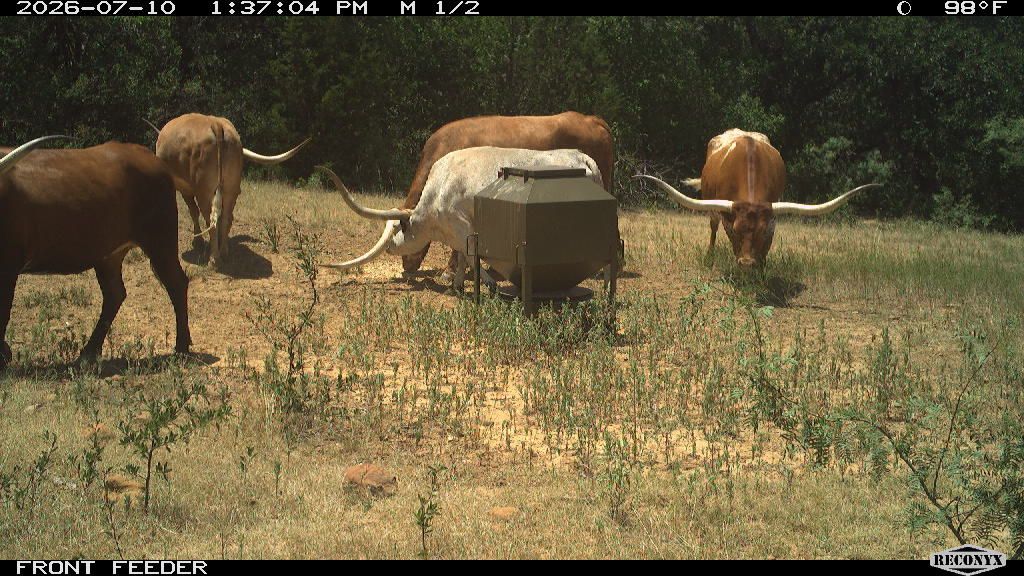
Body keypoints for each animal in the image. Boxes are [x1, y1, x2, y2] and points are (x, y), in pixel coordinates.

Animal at [0, 136, 191, 368]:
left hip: (160, 239)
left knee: (176, 283)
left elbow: (2, 312)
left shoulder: (8, 266)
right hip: (108, 255)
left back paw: (181, 347)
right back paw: (89, 351)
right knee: (115, 294)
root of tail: (148, 156)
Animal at [149, 113, 310, 266]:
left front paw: (198, 241)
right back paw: (224, 251)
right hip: (231, 189)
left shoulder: (185, 189)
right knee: (226, 217)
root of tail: (216, 123)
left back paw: (214, 259)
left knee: (210, 220)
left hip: (204, 191)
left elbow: (193, 212)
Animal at [318, 147, 603, 288]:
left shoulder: (462, 224)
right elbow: (464, 256)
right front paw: (456, 282)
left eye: (399, 228)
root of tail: (582, 157)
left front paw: (488, 283)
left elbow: (472, 254)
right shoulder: (458, 231)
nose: (389, 247)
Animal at [639, 129, 879, 268]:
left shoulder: (772, 219)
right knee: (713, 228)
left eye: (762, 232)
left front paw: (762, 268)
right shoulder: (727, 218)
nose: (746, 263)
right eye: (736, 231)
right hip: (712, 210)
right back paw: (710, 258)